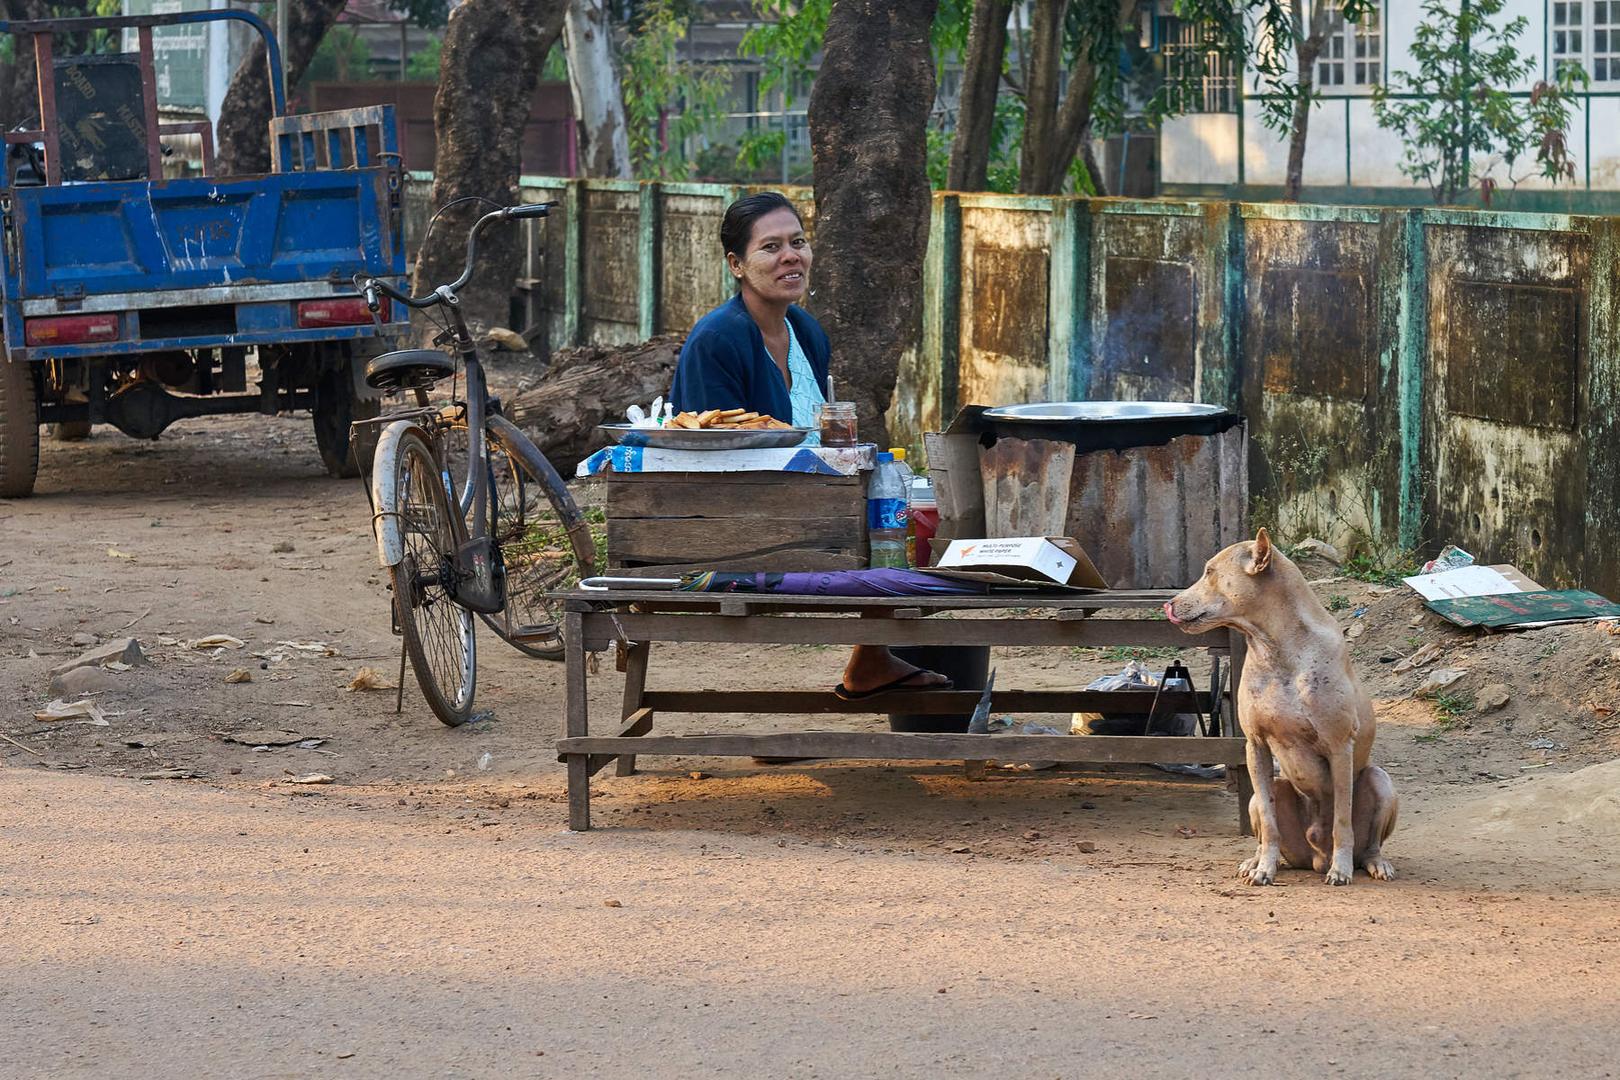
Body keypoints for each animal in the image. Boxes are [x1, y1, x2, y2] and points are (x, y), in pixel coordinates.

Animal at [1166, 524, 1393, 887]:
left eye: (1210, 572)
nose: (1168, 604)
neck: (1276, 648)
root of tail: (1314, 857)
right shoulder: (1255, 745)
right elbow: (1269, 823)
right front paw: (1263, 868)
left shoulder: (1339, 747)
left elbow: (1342, 820)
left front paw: (1341, 869)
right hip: (1264, 795)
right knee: (1265, 823)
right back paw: (1255, 861)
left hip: (1381, 782)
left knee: (1369, 842)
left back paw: (1372, 863)